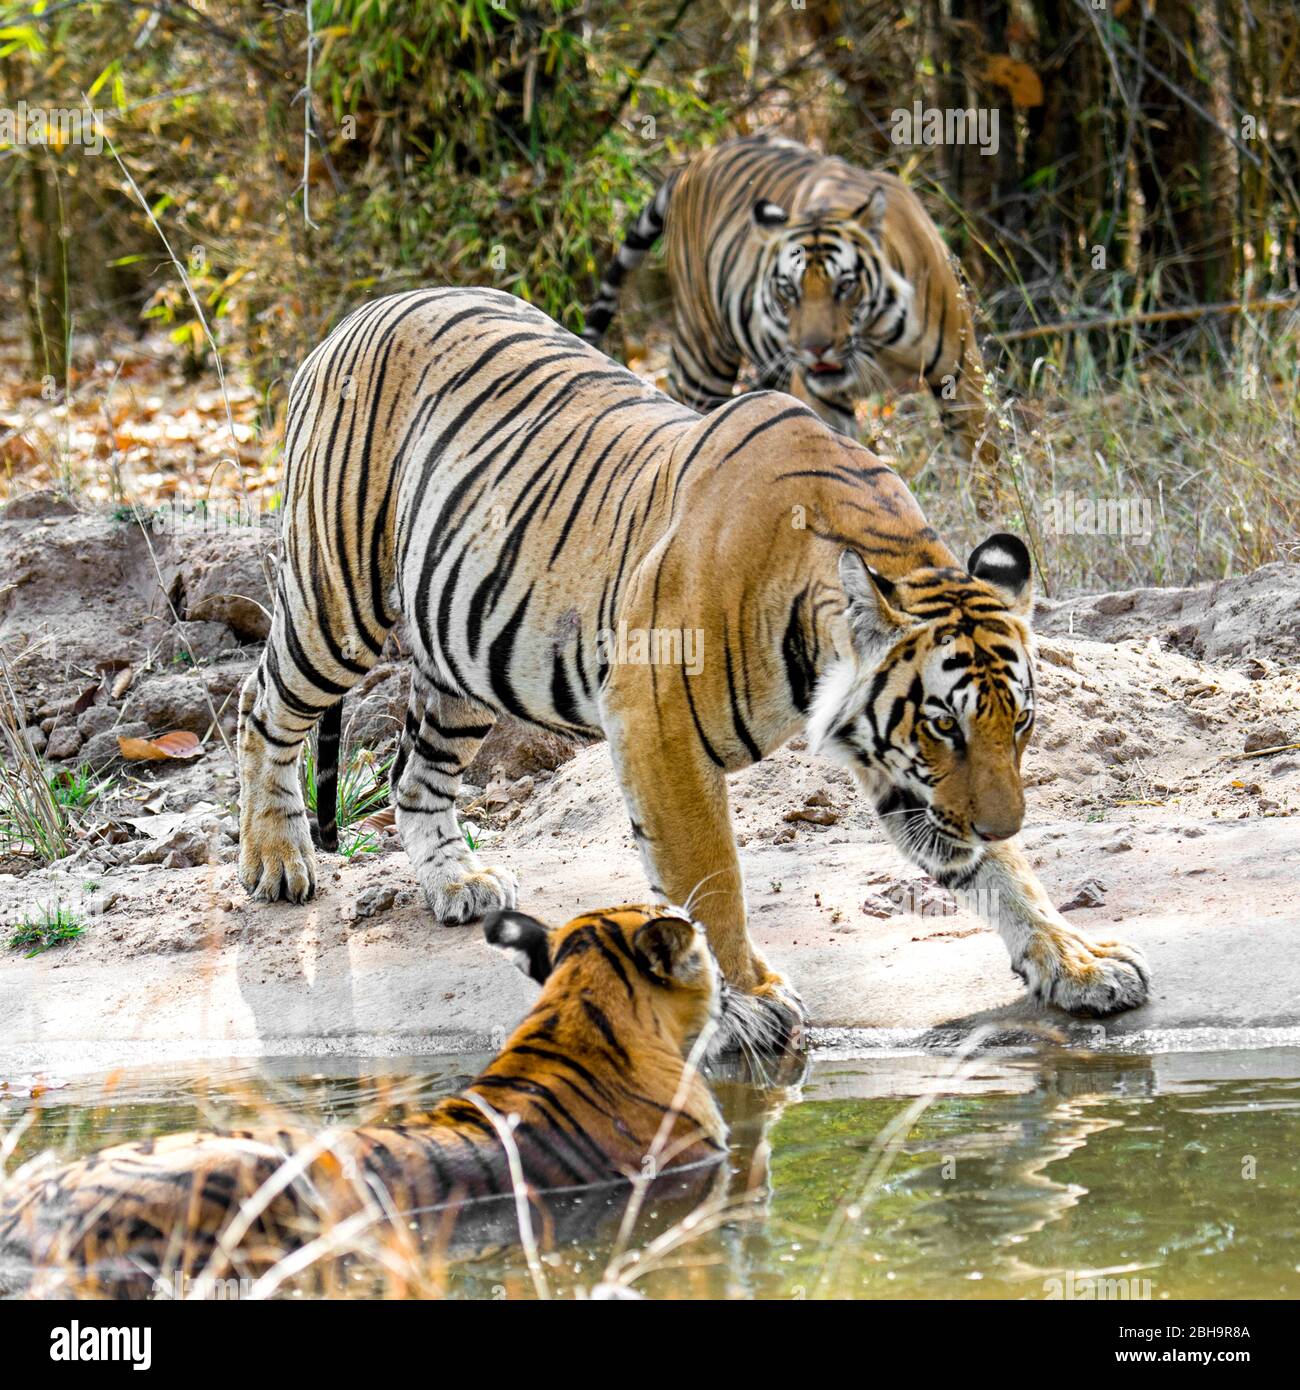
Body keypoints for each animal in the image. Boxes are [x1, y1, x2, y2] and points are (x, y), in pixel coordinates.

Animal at [233, 290, 1151, 1050]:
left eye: (1019, 723)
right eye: (943, 725)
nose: (1001, 822)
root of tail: (356, 316)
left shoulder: (902, 773)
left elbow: (1006, 879)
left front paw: (1076, 962)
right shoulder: (658, 726)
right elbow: (713, 878)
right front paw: (749, 1000)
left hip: (465, 655)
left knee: (415, 773)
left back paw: (460, 882)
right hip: (337, 603)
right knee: (259, 703)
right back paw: (276, 861)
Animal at [583, 135, 1001, 511]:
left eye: (845, 286)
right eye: (789, 289)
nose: (815, 349)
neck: (874, 337)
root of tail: (695, 162)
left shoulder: (960, 372)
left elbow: (980, 460)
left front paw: (987, 513)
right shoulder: (821, 397)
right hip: (702, 357)